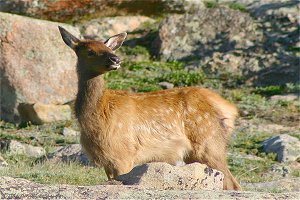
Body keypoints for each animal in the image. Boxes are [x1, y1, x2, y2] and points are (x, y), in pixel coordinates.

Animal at [58, 25, 241, 190]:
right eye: (89, 51)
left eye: (108, 48)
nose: (115, 59)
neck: (96, 116)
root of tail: (230, 109)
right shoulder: (107, 160)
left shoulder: (123, 153)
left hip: (209, 143)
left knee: (233, 184)